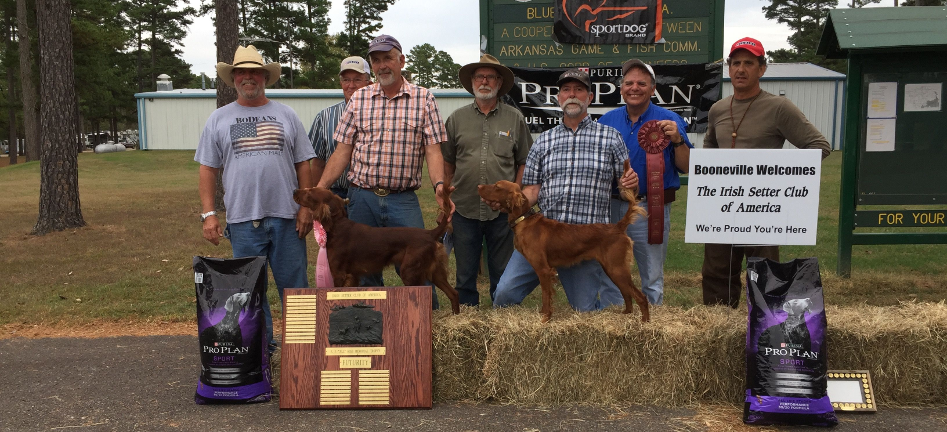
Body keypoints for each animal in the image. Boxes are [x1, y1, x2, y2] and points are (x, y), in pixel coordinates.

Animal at [294, 186, 462, 314]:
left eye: (309, 192)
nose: (295, 190)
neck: (337, 226)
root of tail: (430, 233)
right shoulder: (353, 276)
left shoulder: (339, 274)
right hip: (435, 272)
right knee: (454, 293)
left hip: (410, 271)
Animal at [478, 179, 648, 320]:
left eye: (497, 186)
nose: (479, 186)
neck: (524, 221)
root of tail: (618, 227)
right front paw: (543, 314)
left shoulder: (543, 269)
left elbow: (546, 295)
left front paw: (545, 317)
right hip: (613, 269)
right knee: (627, 294)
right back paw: (626, 314)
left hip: (616, 268)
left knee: (640, 296)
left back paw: (644, 321)